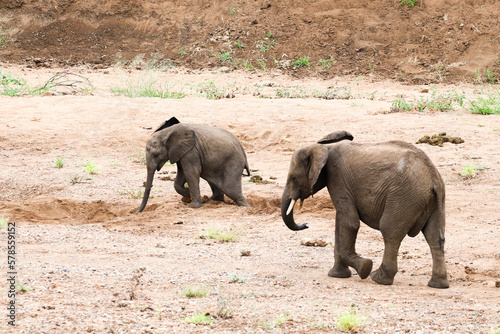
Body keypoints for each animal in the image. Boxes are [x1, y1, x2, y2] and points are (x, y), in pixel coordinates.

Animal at [282, 132, 450, 288]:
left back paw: (379, 278)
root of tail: (433, 179)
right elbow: (340, 224)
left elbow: (350, 223)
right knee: (435, 238)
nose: (306, 224)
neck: (324, 147)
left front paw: (364, 268)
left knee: (390, 232)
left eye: (293, 178)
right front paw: (337, 275)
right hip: (435, 200)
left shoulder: (338, 179)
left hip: (404, 197)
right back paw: (438, 285)